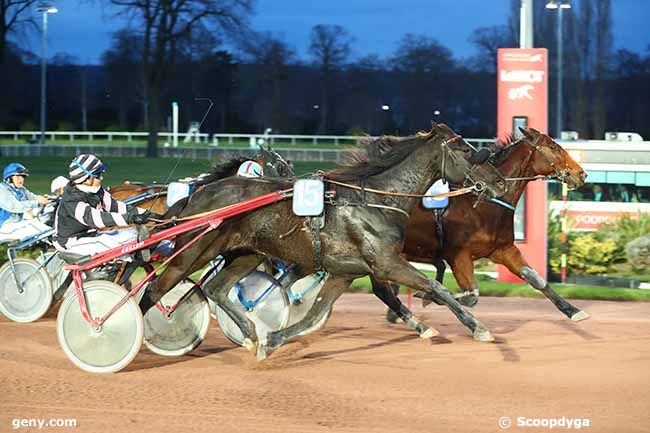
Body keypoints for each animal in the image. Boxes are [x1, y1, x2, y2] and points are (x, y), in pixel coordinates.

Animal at [140, 122, 506, 358]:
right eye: (466, 151)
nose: (500, 182)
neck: (375, 200)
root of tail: (197, 193)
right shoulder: (387, 263)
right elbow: (436, 287)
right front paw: (479, 328)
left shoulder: (346, 271)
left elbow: (314, 315)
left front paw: (272, 340)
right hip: (193, 251)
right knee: (155, 291)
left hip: (246, 254)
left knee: (216, 288)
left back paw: (250, 335)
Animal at [380, 126, 588, 322]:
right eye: (553, 147)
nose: (582, 174)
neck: (484, 203)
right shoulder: (458, 255)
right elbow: (471, 296)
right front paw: (429, 295)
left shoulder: (503, 249)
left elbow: (537, 280)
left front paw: (573, 310)